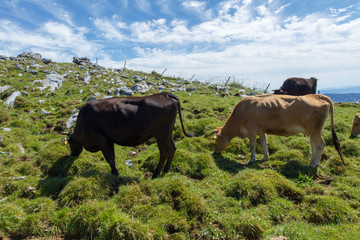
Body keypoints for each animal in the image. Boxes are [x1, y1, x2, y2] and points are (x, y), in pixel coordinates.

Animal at [62, 92, 191, 178]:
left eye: (70, 143)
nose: (72, 154)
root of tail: (164, 94)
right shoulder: (109, 139)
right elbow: (112, 157)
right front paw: (114, 173)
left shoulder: (101, 139)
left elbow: (109, 158)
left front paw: (116, 174)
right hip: (168, 133)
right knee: (173, 148)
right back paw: (166, 170)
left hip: (161, 135)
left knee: (164, 152)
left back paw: (155, 174)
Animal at [212, 94, 344, 167]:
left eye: (216, 141)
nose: (215, 152)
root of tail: (316, 95)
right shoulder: (261, 130)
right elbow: (264, 143)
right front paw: (265, 157)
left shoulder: (251, 130)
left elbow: (253, 145)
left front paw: (251, 160)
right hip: (312, 132)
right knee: (314, 146)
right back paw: (311, 162)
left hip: (315, 131)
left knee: (320, 145)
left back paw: (314, 164)